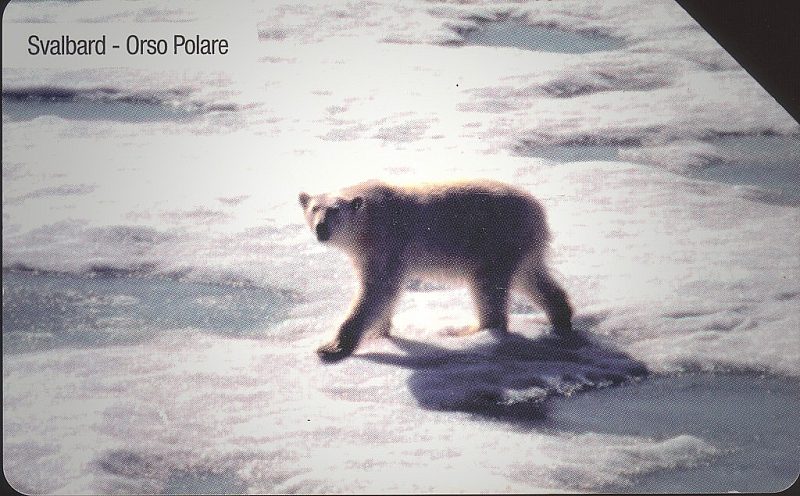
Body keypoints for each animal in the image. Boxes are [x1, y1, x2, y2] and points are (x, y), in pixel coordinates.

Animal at [298, 179, 573, 362]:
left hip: (495, 240)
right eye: (314, 208)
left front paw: (331, 348)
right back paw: (561, 318)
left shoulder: (385, 243)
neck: (369, 220)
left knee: (487, 284)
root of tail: (537, 210)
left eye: (335, 210)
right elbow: (383, 293)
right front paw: (380, 332)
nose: (321, 228)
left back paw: (469, 331)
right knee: (531, 278)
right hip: (518, 246)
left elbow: (376, 290)